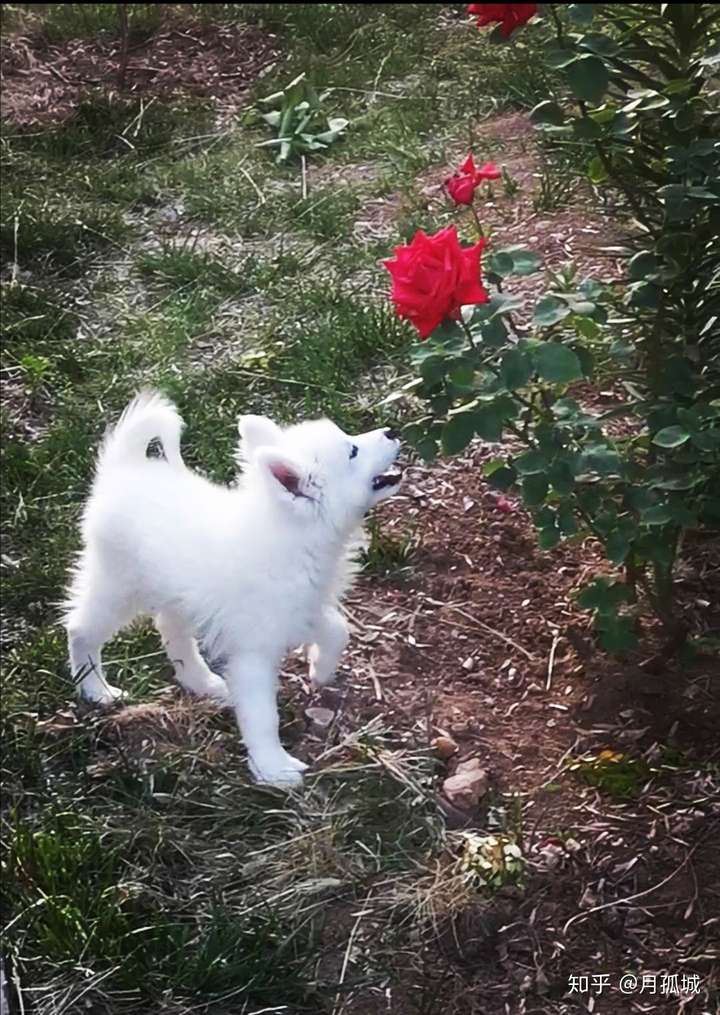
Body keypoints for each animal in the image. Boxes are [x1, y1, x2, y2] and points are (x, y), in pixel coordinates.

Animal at [63, 391, 402, 787]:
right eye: (352, 451)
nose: (392, 431)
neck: (291, 533)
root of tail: (123, 468)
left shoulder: (300, 609)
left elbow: (338, 629)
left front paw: (320, 669)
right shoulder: (253, 653)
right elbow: (262, 715)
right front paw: (273, 767)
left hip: (178, 594)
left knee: (170, 629)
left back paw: (202, 682)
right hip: (118, 585)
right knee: (81, 629)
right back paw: (95, 689)